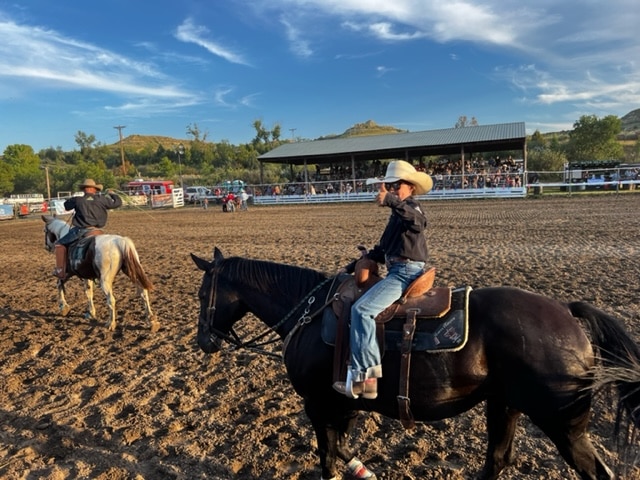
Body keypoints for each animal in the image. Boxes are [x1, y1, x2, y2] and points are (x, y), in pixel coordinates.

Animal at [190, 248, 640, 480]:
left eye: (200, 293)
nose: (202, 342)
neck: (310, 311)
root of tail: (567, 312)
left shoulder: (318, 404)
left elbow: (328, 455)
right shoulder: (342, 403)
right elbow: (341, 448)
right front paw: (363, 470)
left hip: (562, 423)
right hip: (505, 405)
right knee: (497, 459)